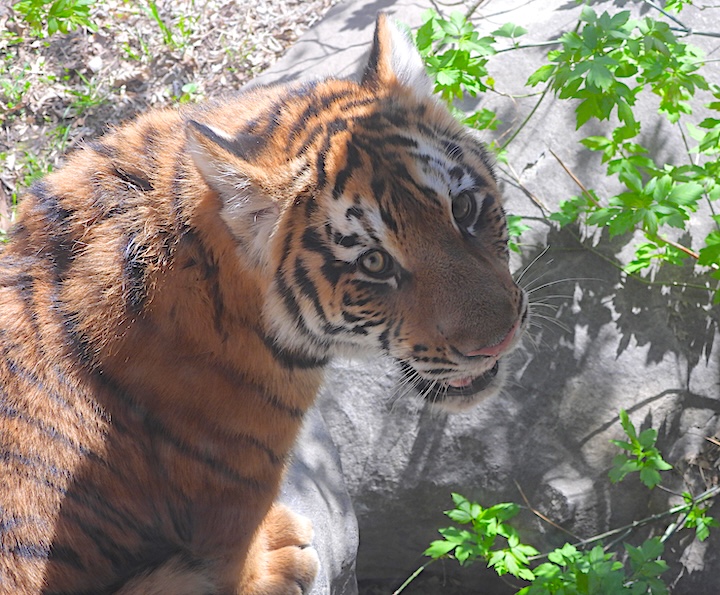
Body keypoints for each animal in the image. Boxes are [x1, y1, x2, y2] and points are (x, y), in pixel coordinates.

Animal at [0, 12, 528, 594]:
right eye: (373, 263)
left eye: (464, 208)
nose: (500, 339)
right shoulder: (230, 503)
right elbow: (235, 562)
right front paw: (282, 561)